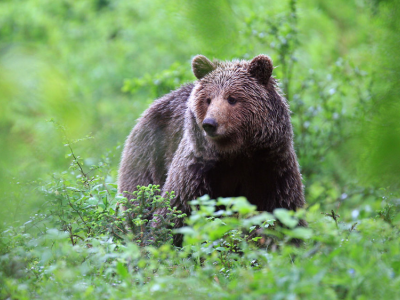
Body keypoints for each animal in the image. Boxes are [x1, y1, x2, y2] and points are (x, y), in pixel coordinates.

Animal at [117, 55, 304, 229]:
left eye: (232, 98)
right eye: (208, 99)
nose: (210, 123)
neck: (236, 153)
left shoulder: (273, 168)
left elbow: (285, 212)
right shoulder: (196, 171)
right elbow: (174, 213)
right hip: (149, 158)